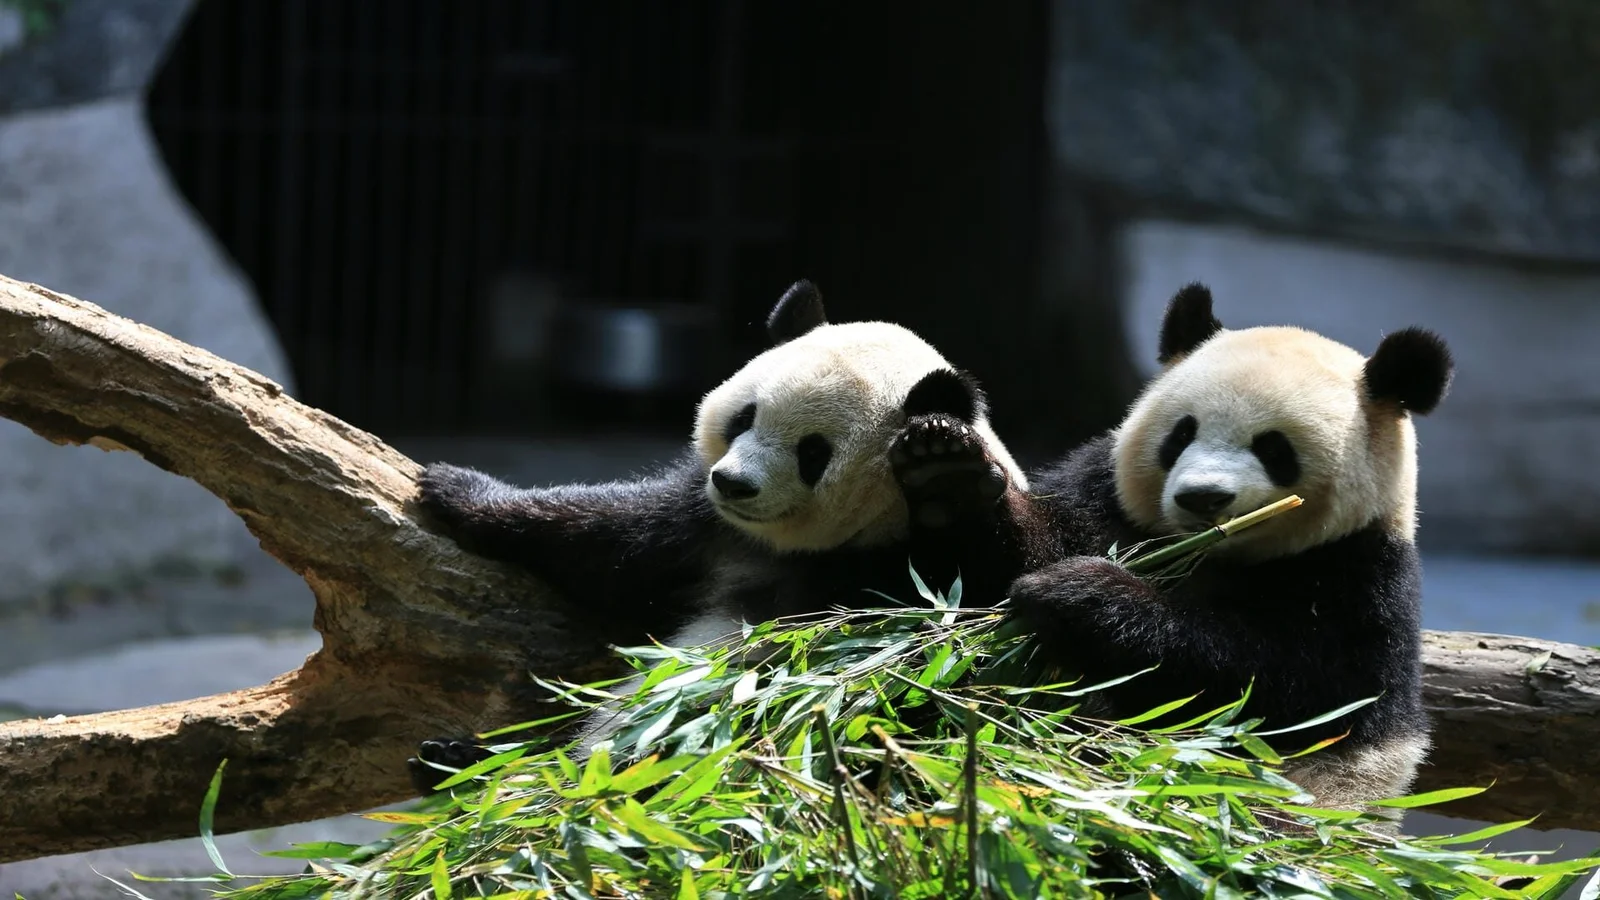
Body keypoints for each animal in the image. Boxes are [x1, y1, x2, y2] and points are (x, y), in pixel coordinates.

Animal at [407, 279, 1032, 790]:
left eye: (813, 453)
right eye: (744, 418)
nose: (733, 483)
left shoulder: (904, 575)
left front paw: (945, 475)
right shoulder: (707, 530)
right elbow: (605, 542)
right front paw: (457, 487)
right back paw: (455, 761)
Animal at [982, 282, 1453, 822]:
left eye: (1274, 448)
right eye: (1182, 432)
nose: (1202, 497)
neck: (1210, 553)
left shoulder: (1359, 581)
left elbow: (1272, 690)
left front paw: (1081, 595)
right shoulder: (1104, 499)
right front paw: (955, 470)